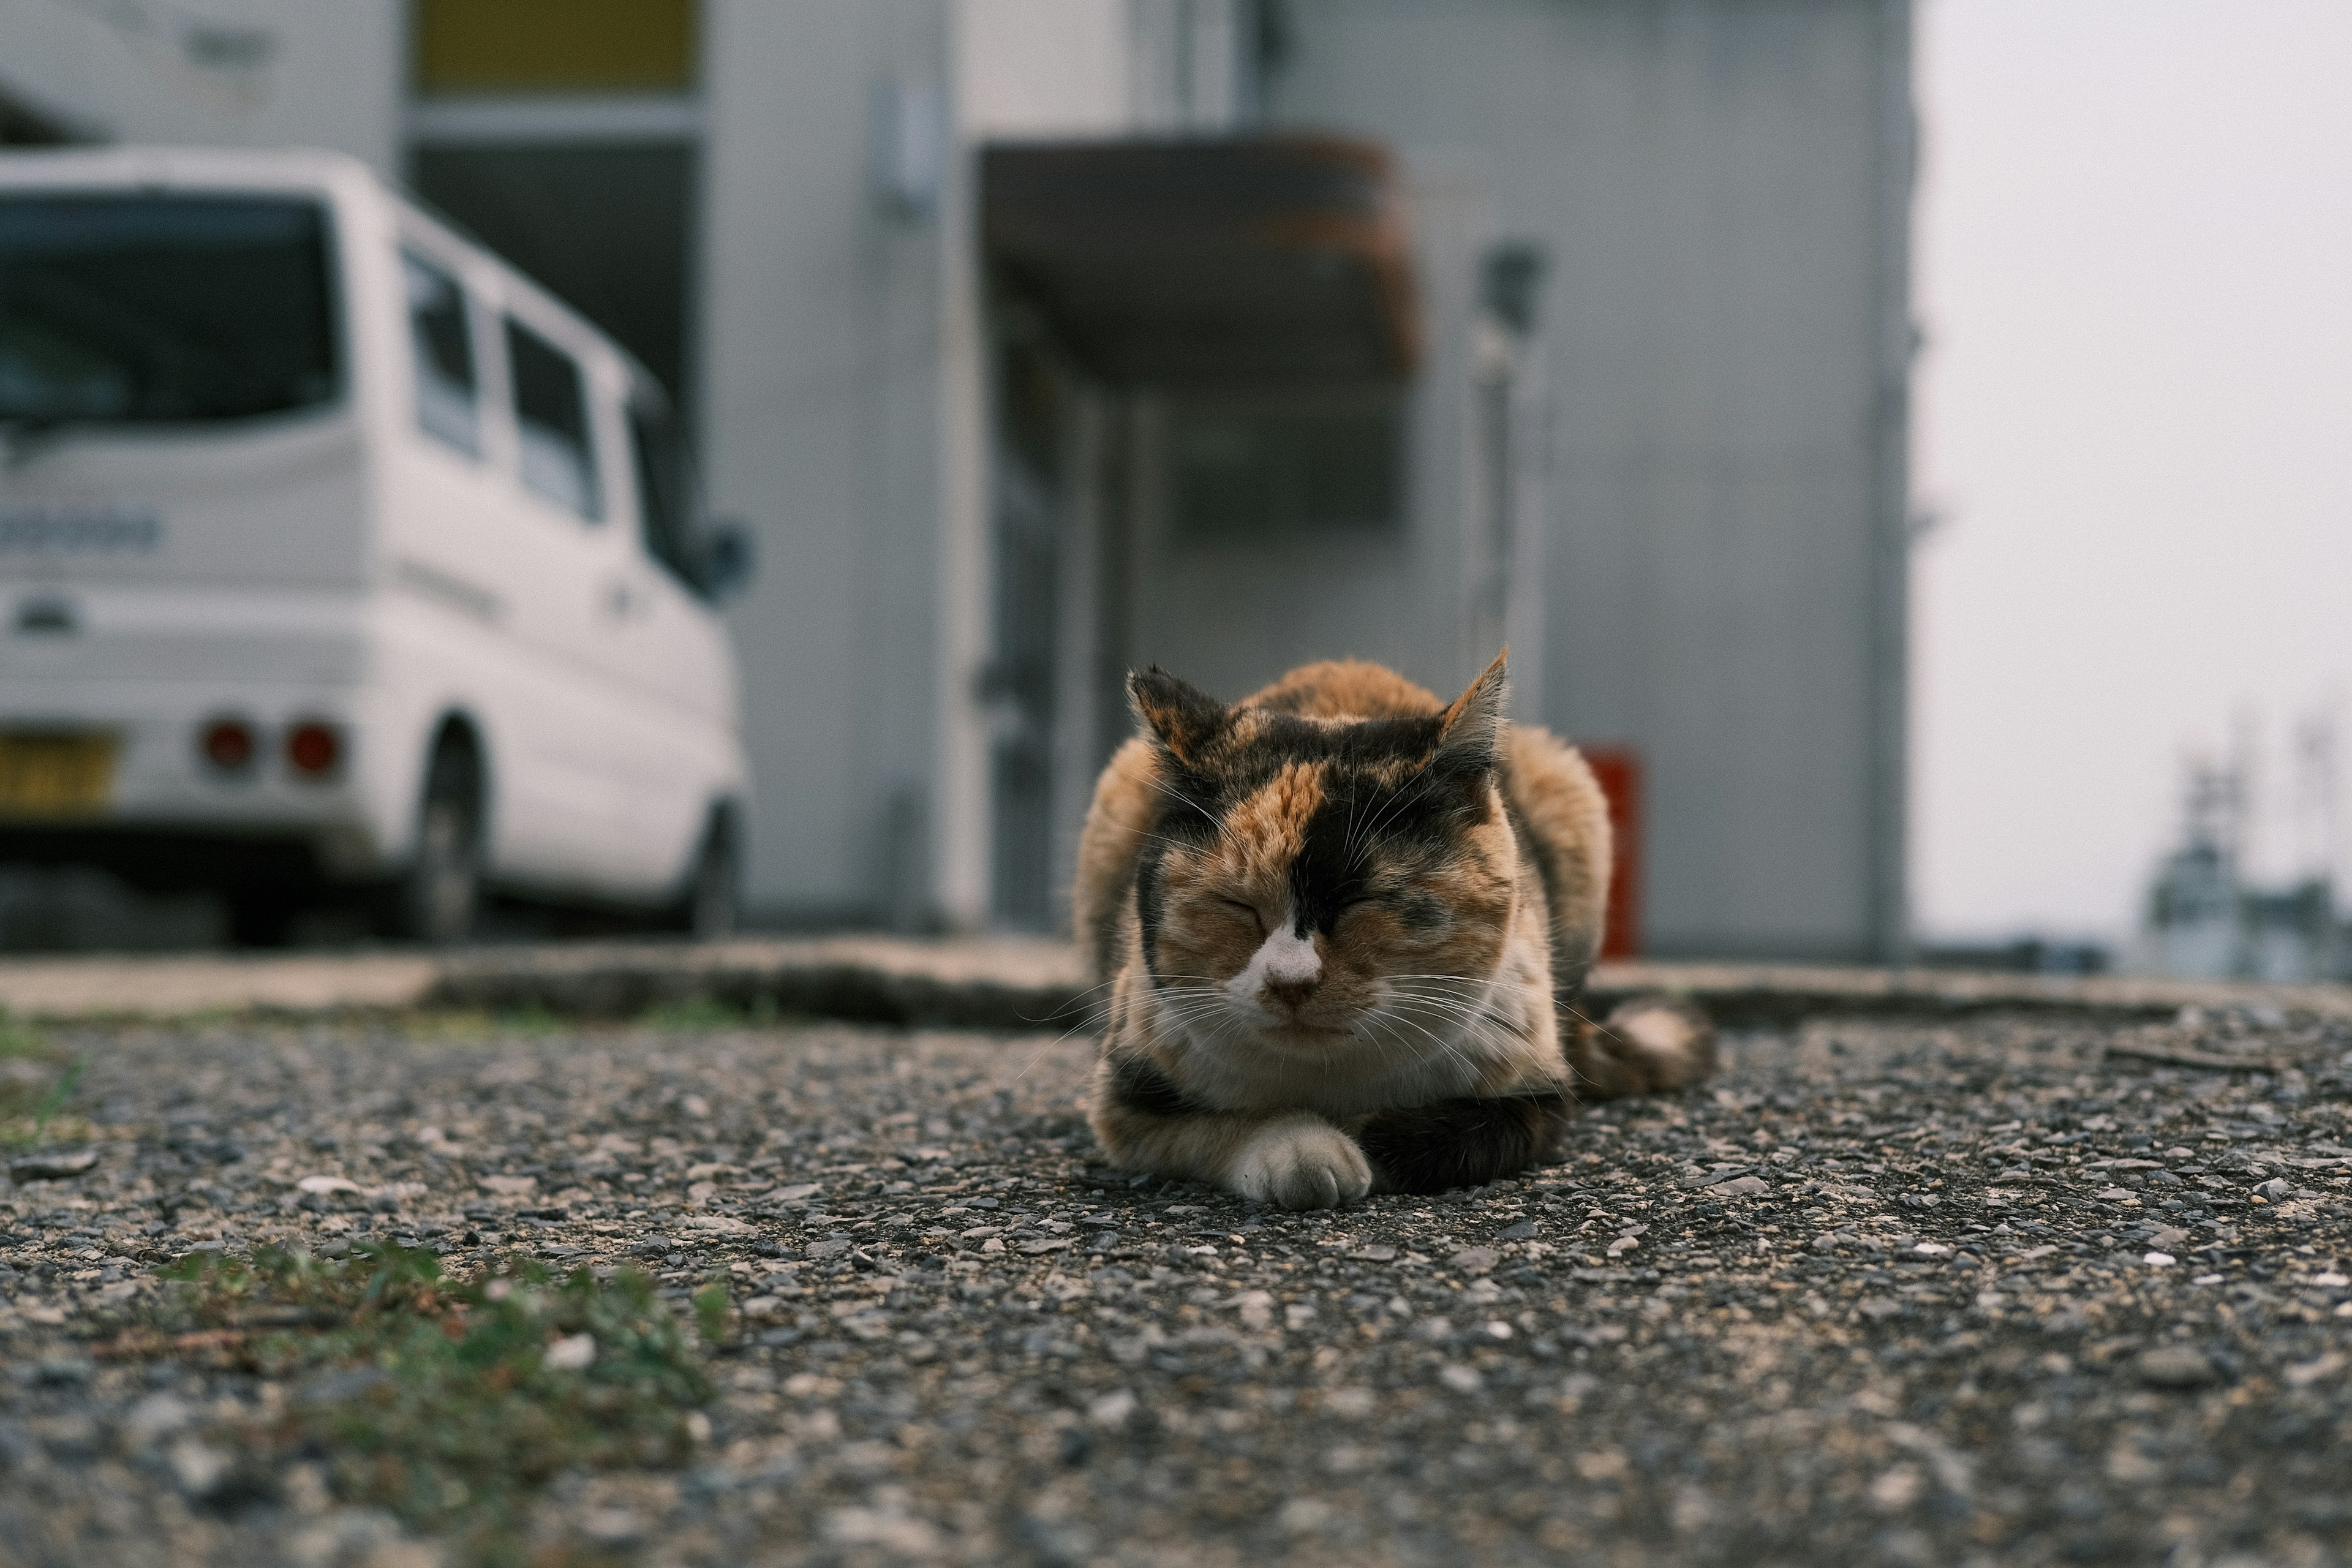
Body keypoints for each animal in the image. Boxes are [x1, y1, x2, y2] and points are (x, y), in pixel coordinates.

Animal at [1077, 658, 1712, 1213]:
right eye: (1238, 905)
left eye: (1364, 902)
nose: (1290, 981)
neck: (1331, 1078)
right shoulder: (1125, 1095)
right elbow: (1217, 1127)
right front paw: (1310, 1153)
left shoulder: (1538, 1097)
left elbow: (1441, 1139)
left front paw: (1360, 1143)